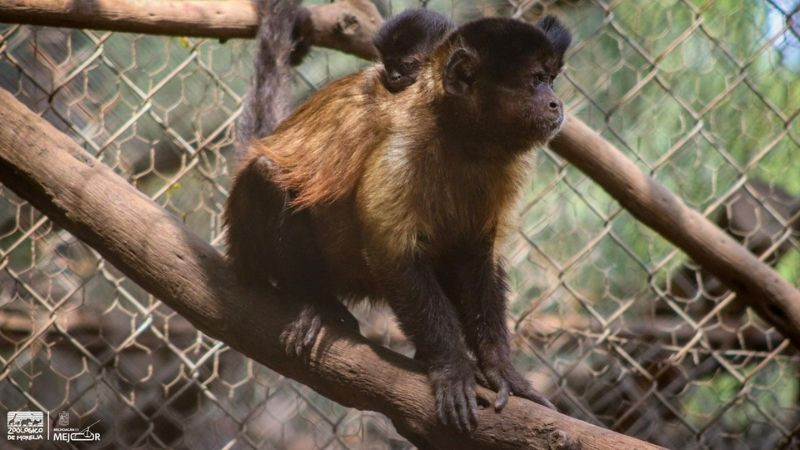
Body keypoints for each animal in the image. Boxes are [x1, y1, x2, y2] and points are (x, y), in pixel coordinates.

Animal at [226, 8, 572, 432]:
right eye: (537, 80)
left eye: (551, 79)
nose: (555, 102)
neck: (461, 138)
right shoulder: (402, 145)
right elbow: (391, 252)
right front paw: (452, 368)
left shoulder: (502, 167)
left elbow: (476, 253)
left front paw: (500, 369)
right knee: (266, 175)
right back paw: (315, 302)